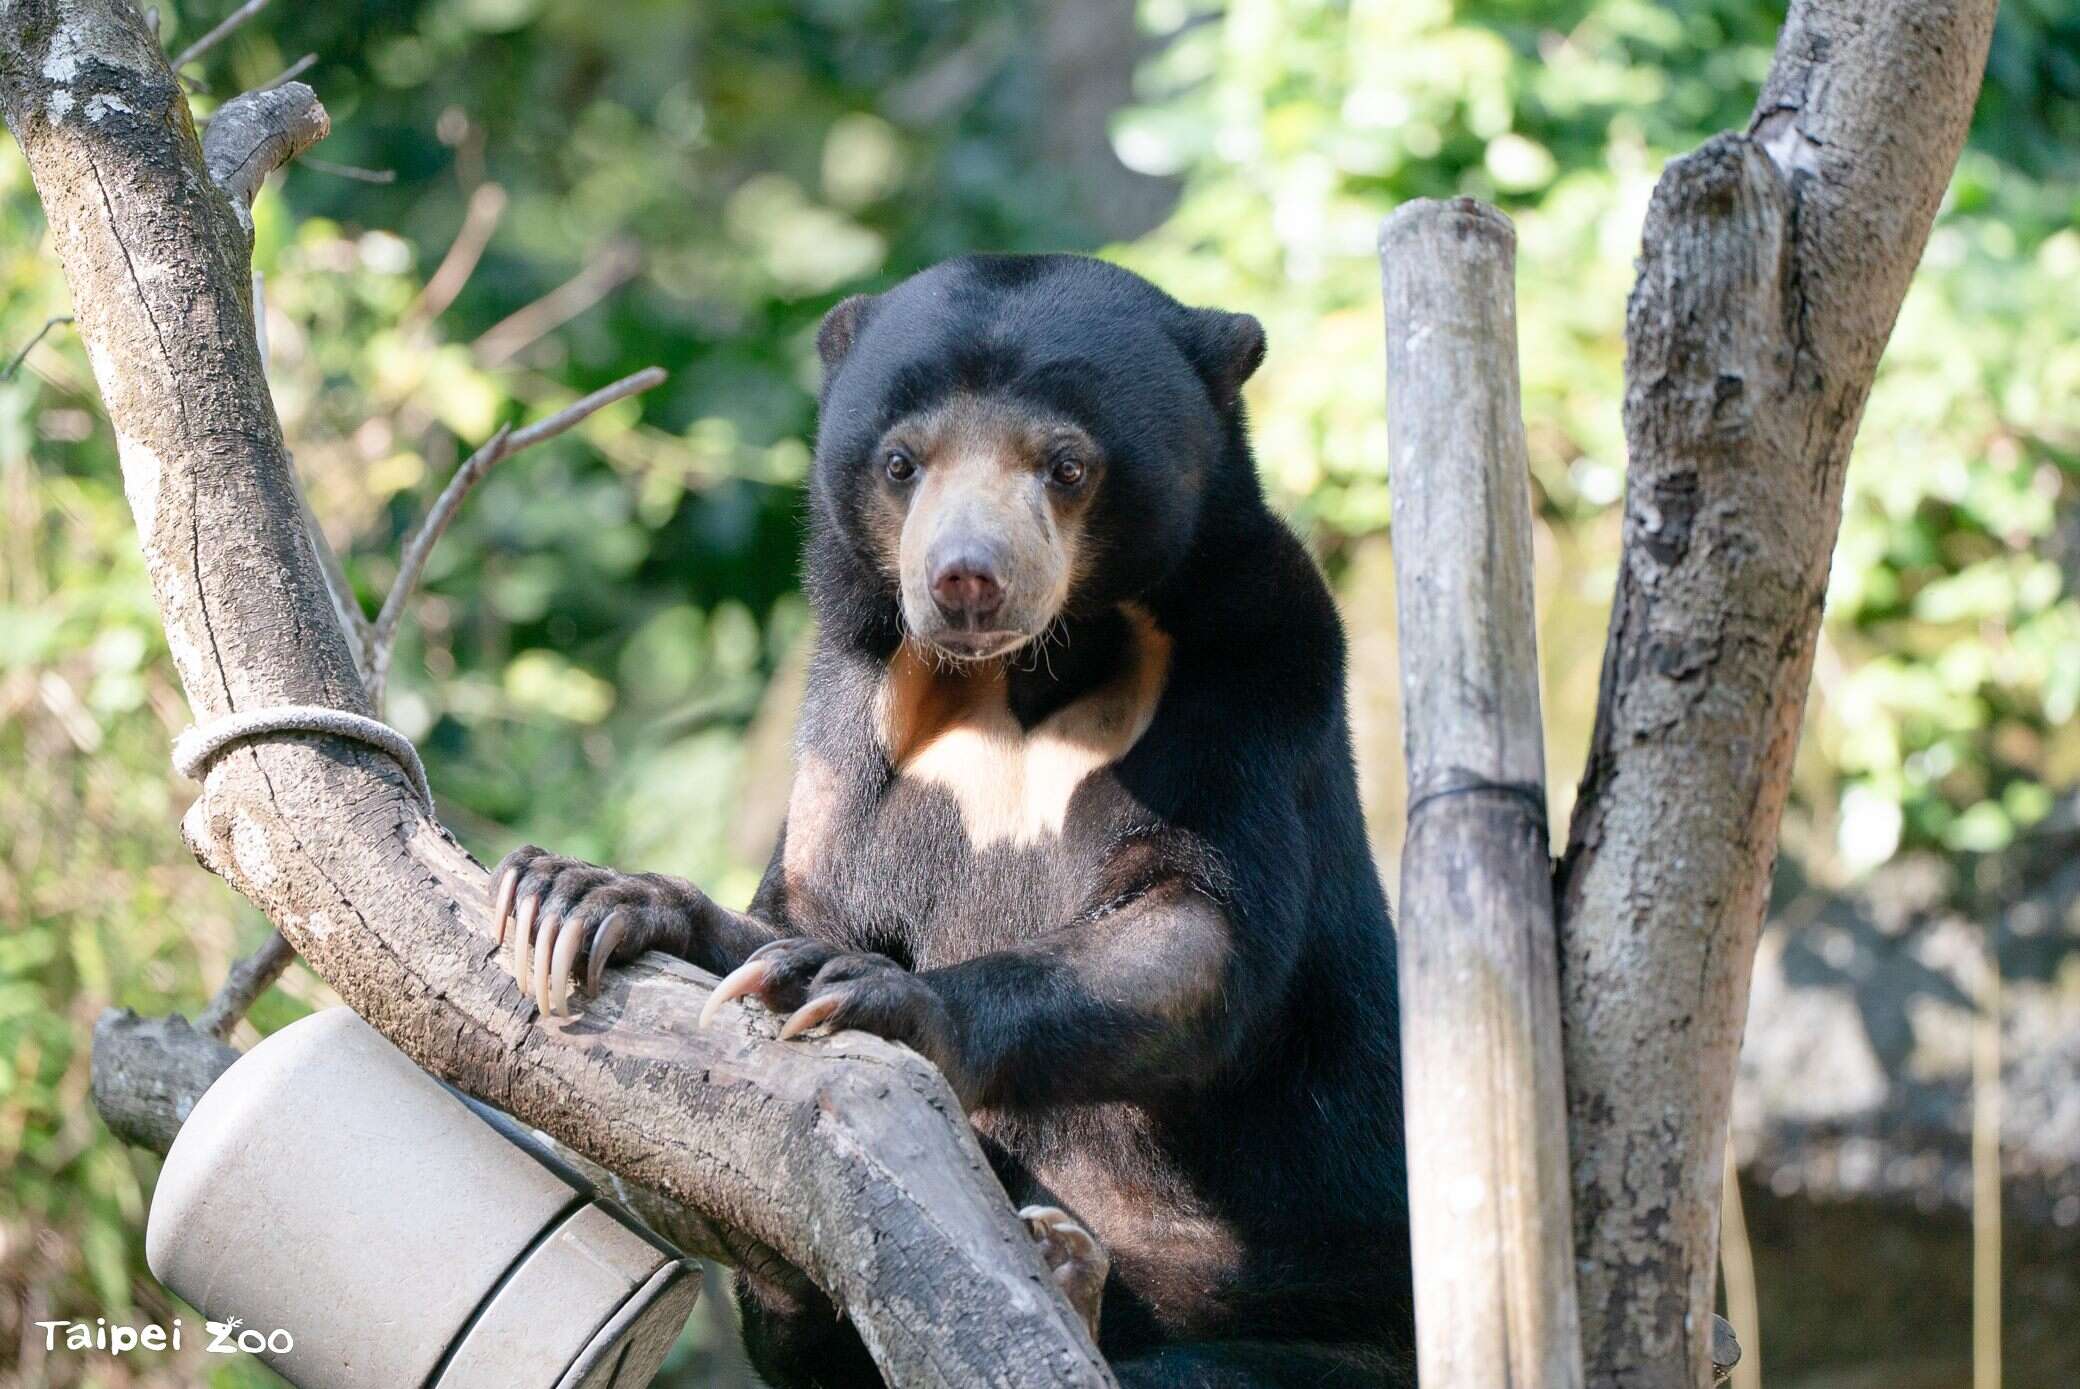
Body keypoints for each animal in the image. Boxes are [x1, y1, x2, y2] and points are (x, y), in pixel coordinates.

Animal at [492, 253, 1414, 1388]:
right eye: (901, 461)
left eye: (1065, 464)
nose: (965, 578)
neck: (1026, 674)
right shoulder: (857, 704)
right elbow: (811, 898)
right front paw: (586, 897)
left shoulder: (1254, 670)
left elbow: (1199, 925)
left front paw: (857, 990)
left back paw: (1070, 1273)